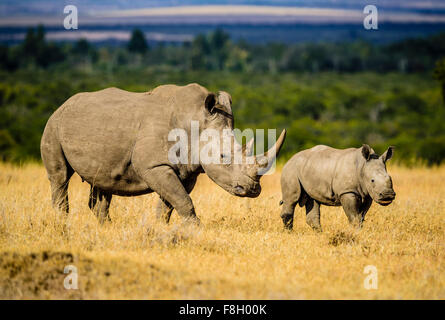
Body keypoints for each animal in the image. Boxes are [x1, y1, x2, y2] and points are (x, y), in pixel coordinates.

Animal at [40, 84, 284, 224]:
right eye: (224, 157)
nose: (253, 189)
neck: (196, 119)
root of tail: (63, 104)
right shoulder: (152, 165)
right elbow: (182, 200)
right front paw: (196, 230)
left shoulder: (186, 171)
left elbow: (171, 202)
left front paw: (160, 230)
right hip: (54, 124)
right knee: (60, 177)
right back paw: (62, 223)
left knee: (102, 182)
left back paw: (106, 227)